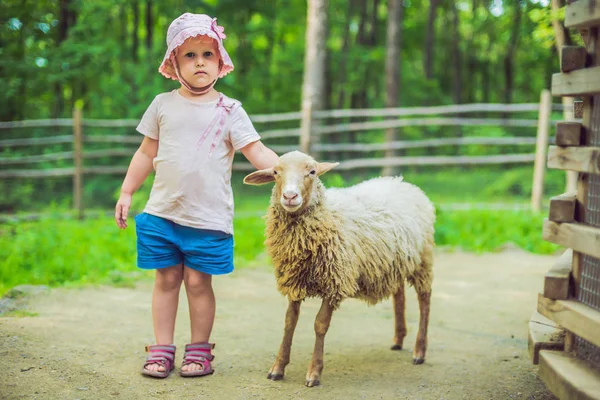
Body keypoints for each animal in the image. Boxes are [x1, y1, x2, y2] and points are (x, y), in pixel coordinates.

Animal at [244, 151, 436, 388]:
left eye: (312, 172)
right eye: (275, 172)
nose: (289, 196)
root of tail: (403, 183)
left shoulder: (335, 281)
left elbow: (320, 325)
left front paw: (314, 373)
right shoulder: (295, 281)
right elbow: (289, 322)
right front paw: (278, 368)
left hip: (423, 260)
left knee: (424, 300)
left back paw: (419, 351)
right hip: (393, 262)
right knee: (399, 293)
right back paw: (398, 339)